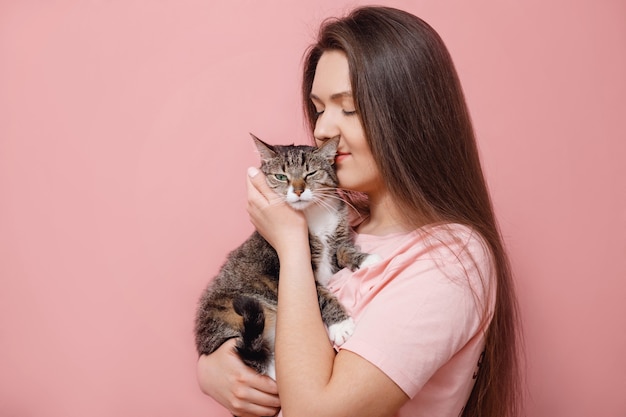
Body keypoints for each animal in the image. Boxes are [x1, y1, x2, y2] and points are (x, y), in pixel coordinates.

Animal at [193, 135, 378, 378]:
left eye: (310, 173)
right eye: (281, 176)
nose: (298, 191)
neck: (313, 215)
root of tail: (204, 344)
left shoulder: (337, 240)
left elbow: (344, 251)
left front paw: (367, 259)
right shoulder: (287, 269)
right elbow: (321, 296)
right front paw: (341, 325)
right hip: (230, 316)